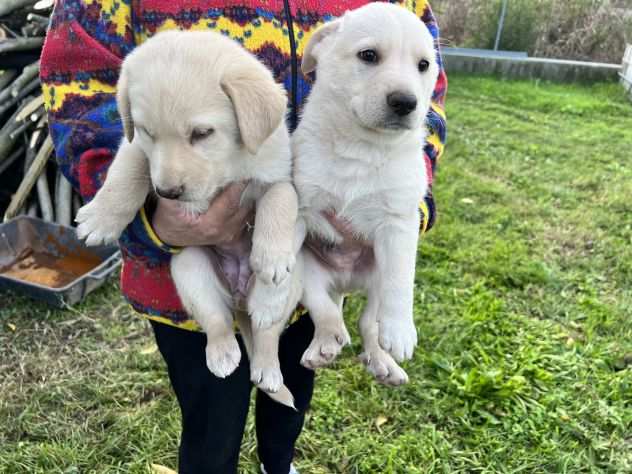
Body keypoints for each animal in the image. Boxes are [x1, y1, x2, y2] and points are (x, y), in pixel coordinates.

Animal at [76, 30, 298, 408]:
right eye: (147, 131)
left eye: (202, 133)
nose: (167, 192)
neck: (228, 164)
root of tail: (240, 299)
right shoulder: (136, 146)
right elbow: (128, 168)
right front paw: (100, 217)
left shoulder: (279, 173)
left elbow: (280, 200)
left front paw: (271, 257)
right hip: (190, 265)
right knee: (217, 321)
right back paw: (222, 354)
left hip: (293, 282)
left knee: (267, 330)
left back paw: (268, 369)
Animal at [292, 2, 440, 386]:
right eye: (368, 55)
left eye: (423, 65)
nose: (405, 102)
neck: (361, 147)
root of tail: (346, 281)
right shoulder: (299, 205)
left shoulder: (399, 224)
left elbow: (401, 282)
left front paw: (401, 331)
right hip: (310, 270)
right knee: (325, 308)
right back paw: (325, 343)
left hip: (376, 276)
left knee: (369, 321)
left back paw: (383, 360)